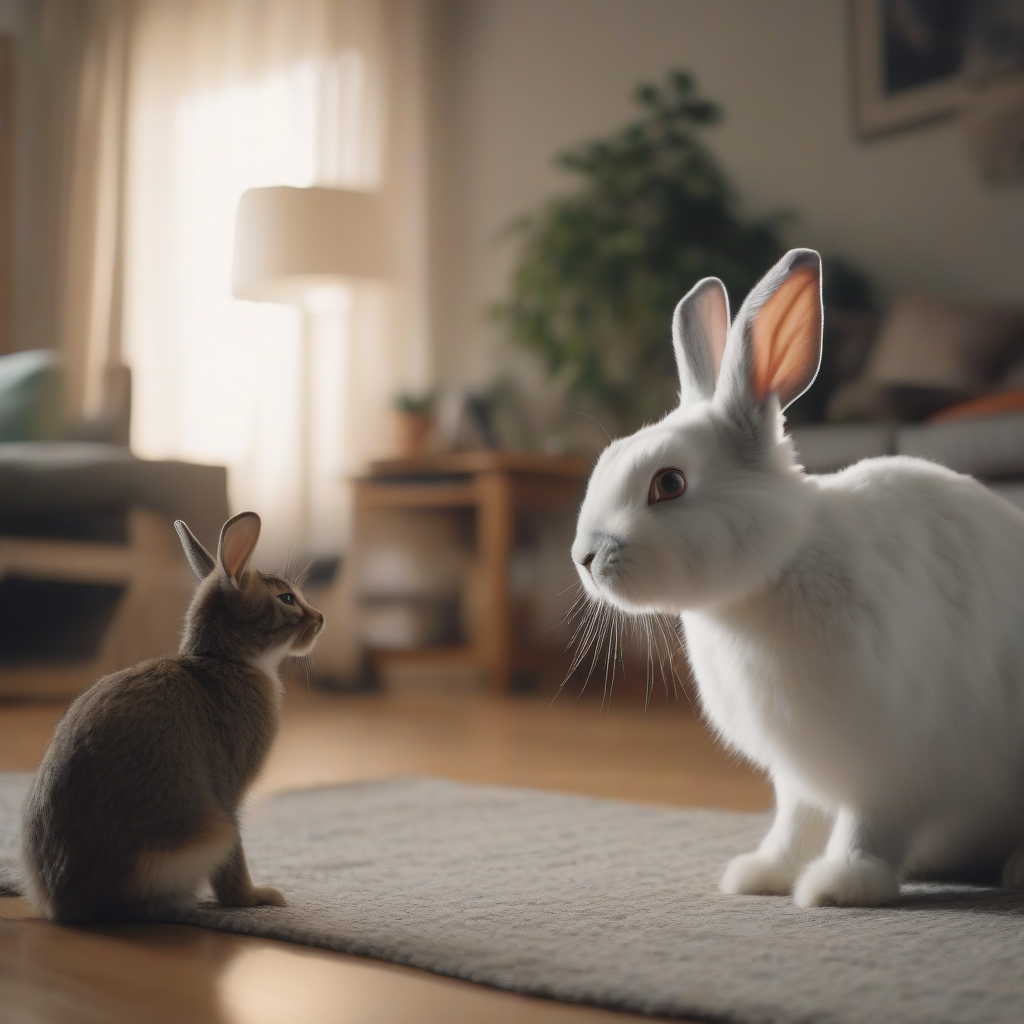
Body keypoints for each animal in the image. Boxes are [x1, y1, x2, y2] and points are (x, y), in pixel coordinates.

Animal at [22, 510, 324, 923]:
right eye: (287, 598)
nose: (321, 618)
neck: (224, 659)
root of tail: (68, 901)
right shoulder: (229, 792)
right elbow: (234, 856)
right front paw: (256, 897)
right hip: (198, 835)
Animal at [572, 248, 1024, 908]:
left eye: (669, 483)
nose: (584, 557)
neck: (778, 569)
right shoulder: (799, 772)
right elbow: (796, 822)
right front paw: (762, 874)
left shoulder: (890, 759)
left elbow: (869, 826)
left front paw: (841, 886)